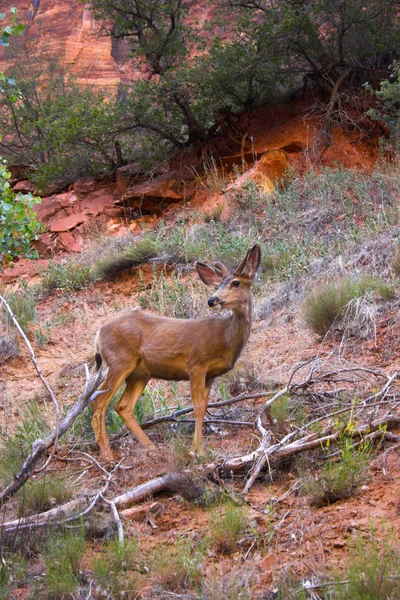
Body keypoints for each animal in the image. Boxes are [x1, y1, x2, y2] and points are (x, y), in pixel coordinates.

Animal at [92, 241, 262, 462]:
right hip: (120, 361)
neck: (225, 337)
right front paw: (198, 450)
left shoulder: (211, 374)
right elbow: (197, 407)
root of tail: (99, 334)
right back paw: (107, 455)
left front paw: (198, 448)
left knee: (123, 406)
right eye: (218, 285)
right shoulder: (196, 364)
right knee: (99, 402)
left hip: (140, 373)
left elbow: (204, 407)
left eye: (235, 283)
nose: (212, 299)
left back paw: (152, 448)